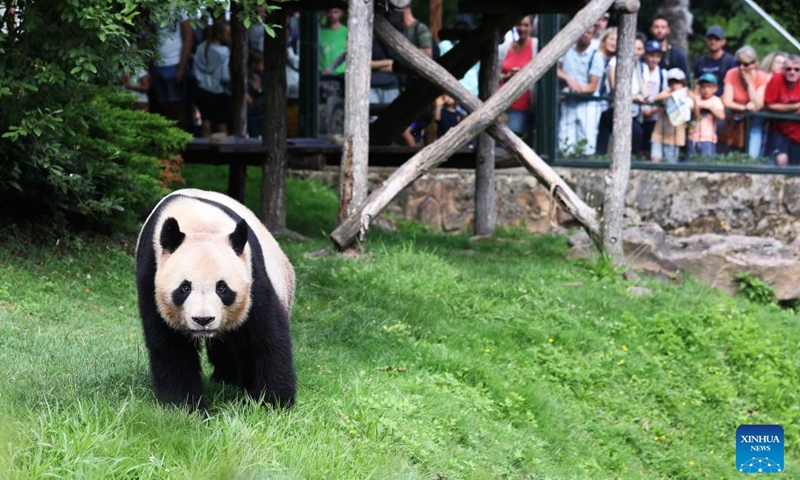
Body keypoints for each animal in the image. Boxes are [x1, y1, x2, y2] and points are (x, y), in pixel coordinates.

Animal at [136, 189, 296, 410]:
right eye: (185, 288)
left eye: (222, 288)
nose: (203, 320)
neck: (199, 223)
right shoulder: (150, 272)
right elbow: (171, 345)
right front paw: (186, 406)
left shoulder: (254, 274)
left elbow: (267, 337)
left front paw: (274, 403)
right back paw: (226, 378)